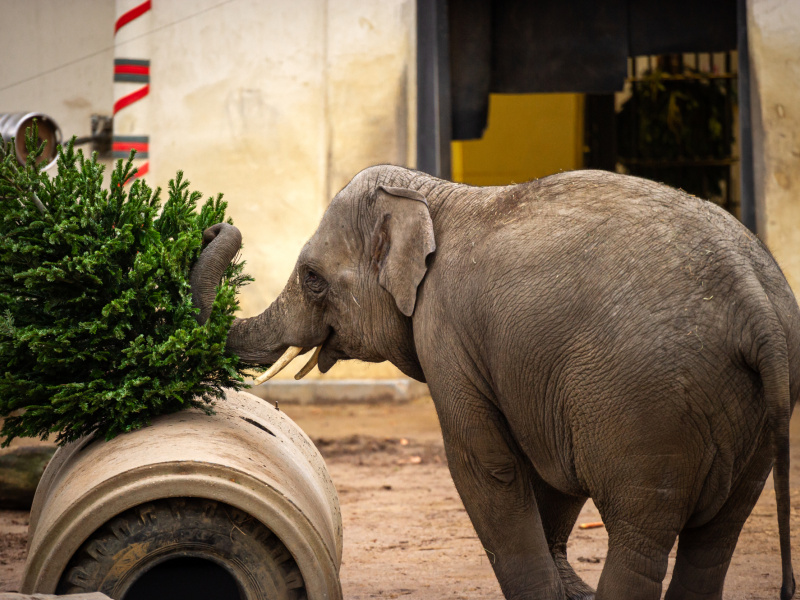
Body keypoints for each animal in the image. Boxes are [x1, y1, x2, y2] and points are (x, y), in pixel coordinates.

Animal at [189, 166, 800, 600]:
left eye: (312, 279)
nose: (212, 223)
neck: (434, 194)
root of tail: (755, 304)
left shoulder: (445, 331)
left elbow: (487, 466)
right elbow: (550, 466)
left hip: (650, 407)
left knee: (641, 539)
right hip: (752, 410)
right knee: (715, 539)